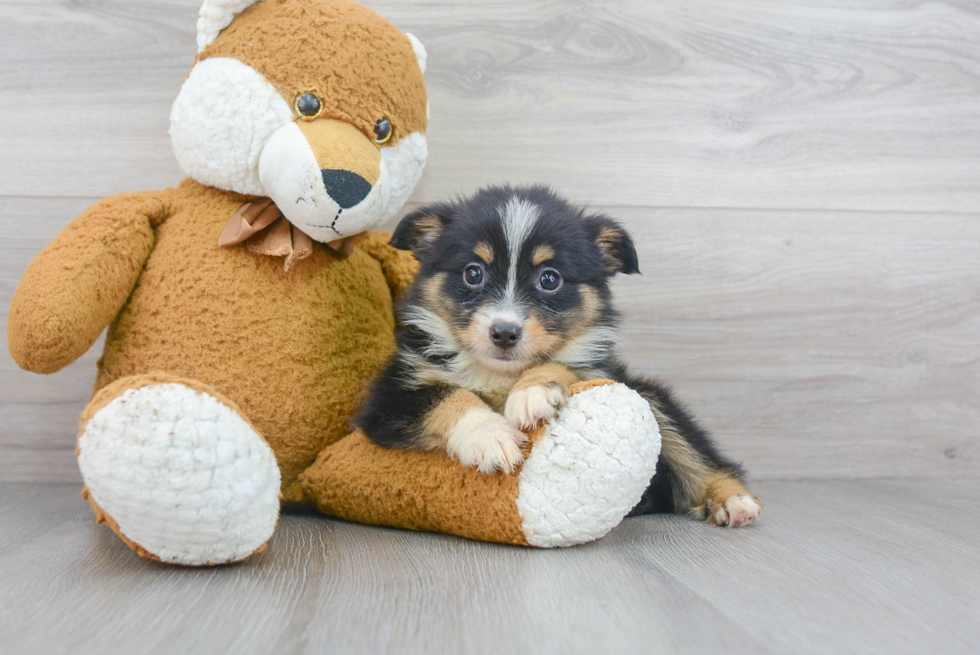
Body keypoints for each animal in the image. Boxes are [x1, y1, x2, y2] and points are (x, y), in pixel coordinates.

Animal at [356, 184, 760, 528]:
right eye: (473, 273)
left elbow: (560, 362)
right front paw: (491, 437)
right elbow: (446, 395)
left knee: (699, 457)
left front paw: (533, 392)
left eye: (550, 278)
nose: (504, 333)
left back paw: (733, 501)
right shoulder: (386, 400)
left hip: (650, 398)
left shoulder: (601, 371)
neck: (500, 374)